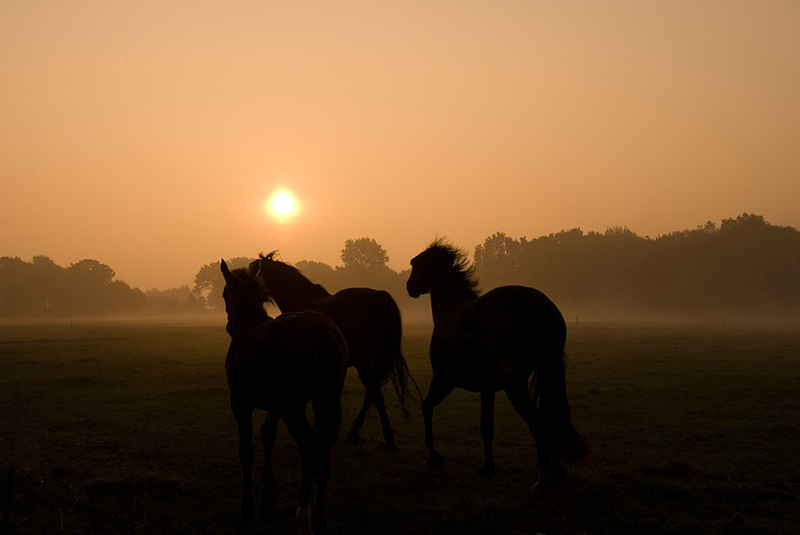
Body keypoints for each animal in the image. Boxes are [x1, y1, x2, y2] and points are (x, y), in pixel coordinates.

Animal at [221, 259, 348, 534]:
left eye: (224, 294)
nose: (228, 326)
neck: (249, 324)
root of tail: (321, 332)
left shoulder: (240, 402)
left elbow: (246, 451)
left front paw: (247, 509)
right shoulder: (275, 406)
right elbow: (268, 435)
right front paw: (268, 502)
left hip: (294, 409)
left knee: (310, 447)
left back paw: (303, 514)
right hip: (323, 403)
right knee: (322, 451)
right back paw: (319, 519)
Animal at [249, 252, 415, 450]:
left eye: (252, 274)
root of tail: (378, 297)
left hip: (364, 363)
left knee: (374, 392)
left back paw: (384, 436)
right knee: (371, 394)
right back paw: (358, 432)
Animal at [406, 240, 588, 490]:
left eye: (415, 264)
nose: (409, 287)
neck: (451, 313)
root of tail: (539, 304)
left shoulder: (443, 381)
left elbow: (426, 407)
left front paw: (434, 457)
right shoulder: (487, 388)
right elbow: (486, 427)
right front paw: (488, 466)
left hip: (514, 385)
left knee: (537, 422)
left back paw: (543, 479)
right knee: (546, 419)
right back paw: (556, 471)